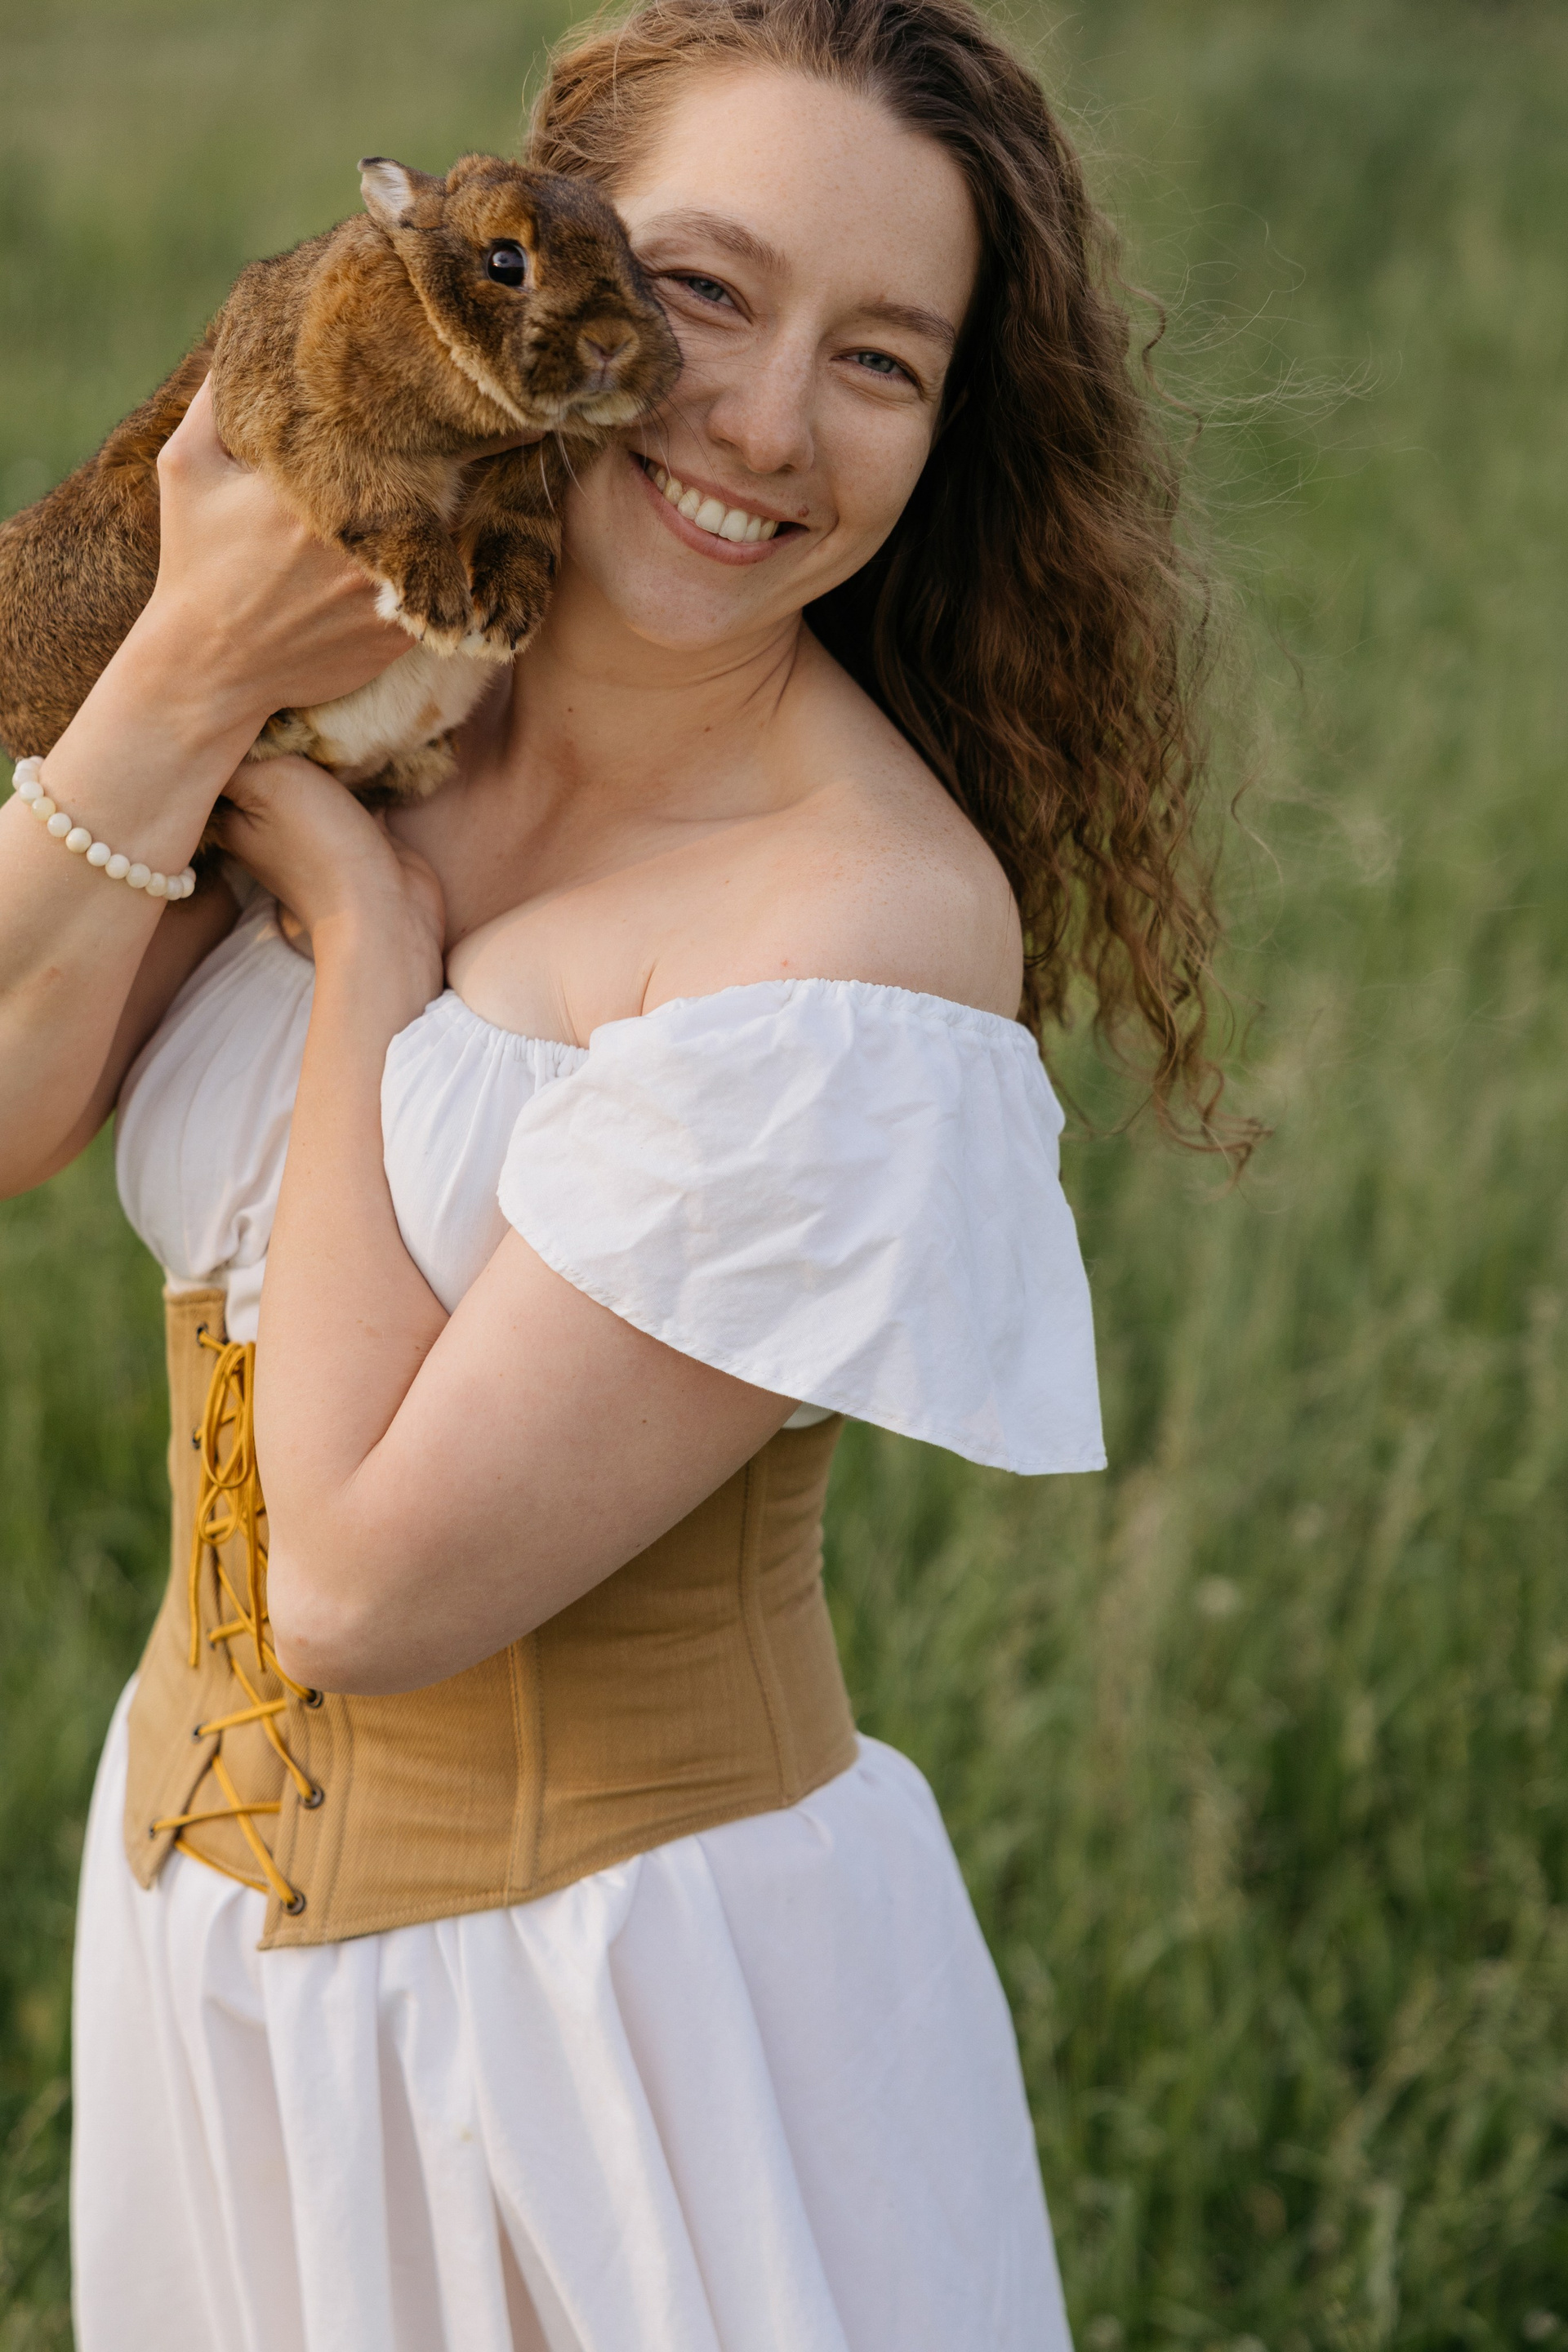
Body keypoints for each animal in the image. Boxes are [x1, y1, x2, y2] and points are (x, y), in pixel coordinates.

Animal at [0, 152, 680, 802]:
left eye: (632, 258)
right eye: (505, 261)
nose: (613, 340)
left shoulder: (532, 476)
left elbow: (515, 523)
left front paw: (506, 620)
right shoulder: (319, 431)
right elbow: (382, 505)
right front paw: (434, 610)